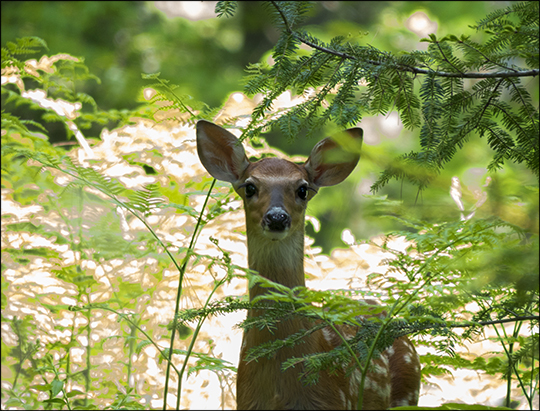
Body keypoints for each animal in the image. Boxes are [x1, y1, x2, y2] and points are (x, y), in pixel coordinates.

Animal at [195, 120, 422, 410]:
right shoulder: (246, 401)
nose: (277, 217)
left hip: (408, 390)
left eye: (302, 189)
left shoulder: (333, 401)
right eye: (249, 187)